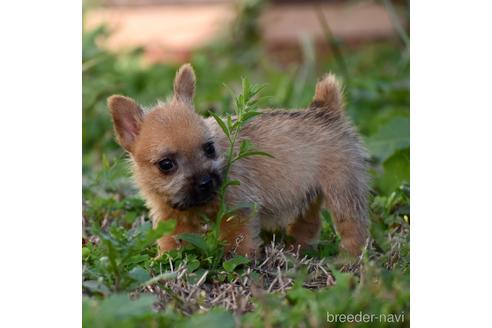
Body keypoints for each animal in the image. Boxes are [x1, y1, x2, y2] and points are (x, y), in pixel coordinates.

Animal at [107, 62, 368, 256]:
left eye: (209, 148)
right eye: (166, 165)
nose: (206, 182)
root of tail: (326, 112)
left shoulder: (237, 209)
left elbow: (238, 239)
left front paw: (239, 260)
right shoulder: (172, 219)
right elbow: (172, 241)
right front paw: (166, 260)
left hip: (343, 190)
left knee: (354, 227)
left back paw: (349, 259)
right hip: (310, 194)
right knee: (310, 223)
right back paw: (297, 249)